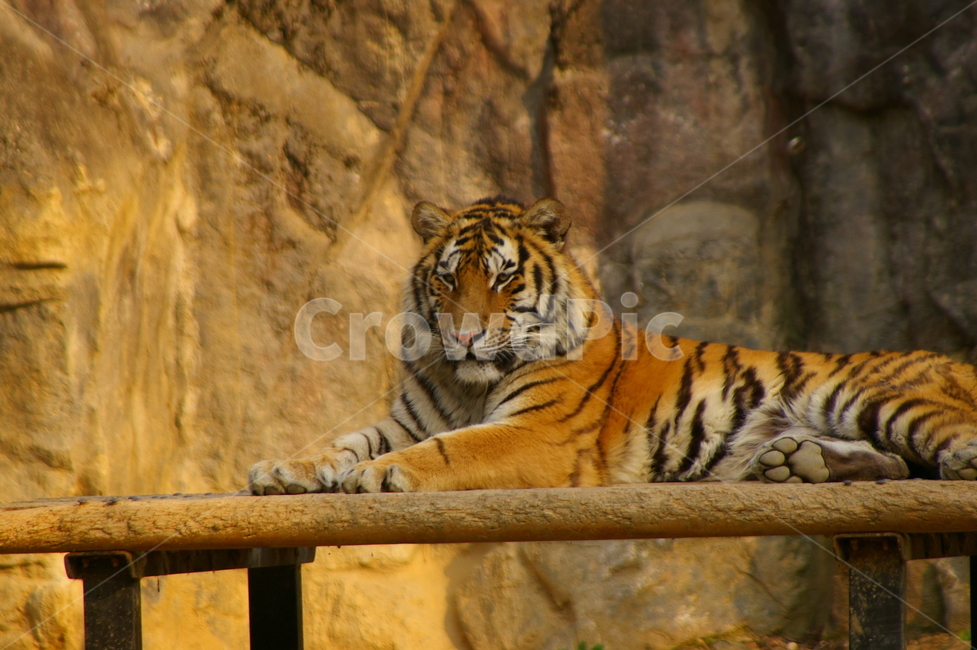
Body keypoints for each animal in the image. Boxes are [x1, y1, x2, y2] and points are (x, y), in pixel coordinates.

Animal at [248, 196, 977, 495]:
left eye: (503, 278)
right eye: (448, 278)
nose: (464, 335)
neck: (468, 384)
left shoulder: (536, 433)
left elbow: (452, 449)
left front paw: (377, 474)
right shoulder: (406, 419)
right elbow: (345, 440)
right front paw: (285, 468)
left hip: (873, 393)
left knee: (941, 438)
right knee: (896, 463)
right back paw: (796, 463)